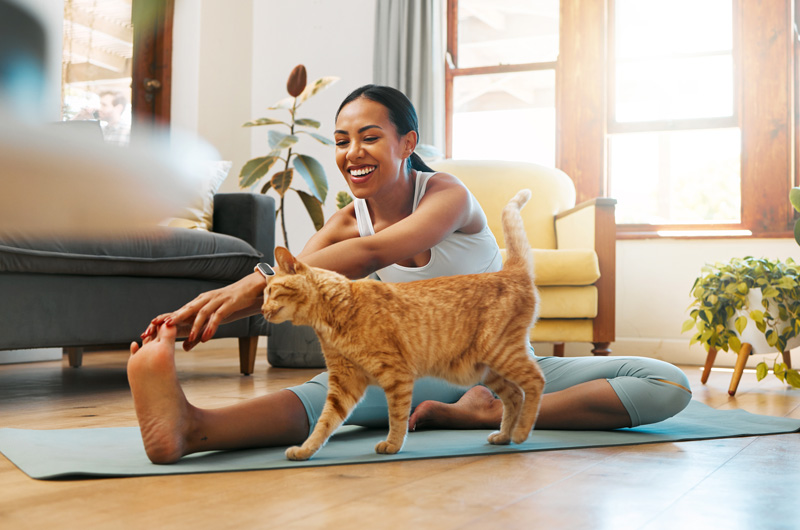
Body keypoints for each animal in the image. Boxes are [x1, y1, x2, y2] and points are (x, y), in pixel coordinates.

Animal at [262, 189, 544, 458]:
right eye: (263, 294)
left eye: (271, 291)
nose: (263, 311)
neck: (335, 312)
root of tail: (510, 271)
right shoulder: (344, 382)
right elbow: (325, 422)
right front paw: (306, 450)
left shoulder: (396, 374)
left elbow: (396, 416)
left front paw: (392, 444)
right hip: (487, 368)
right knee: (514, 395)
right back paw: (505, 435)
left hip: (500, 351)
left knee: (535, 381)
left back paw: (521, 432)